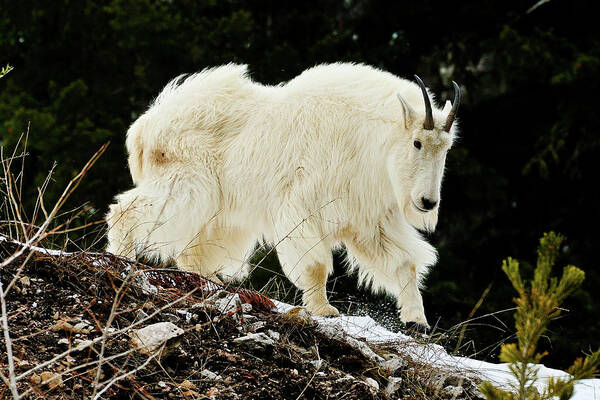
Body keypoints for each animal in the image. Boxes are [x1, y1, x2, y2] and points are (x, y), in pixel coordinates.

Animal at [108, 62, 462, 330]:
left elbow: (404, 263)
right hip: (188, 186)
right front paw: (324, 309)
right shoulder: (304, 206)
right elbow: (316, 263)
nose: (427, 202)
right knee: (127, 211)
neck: (370, 138)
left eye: (446, 148)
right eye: (417, 142)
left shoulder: (368, 220)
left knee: (191, 252)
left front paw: (417, 321)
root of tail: (146, 126)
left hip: (219, 213)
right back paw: (122, 261)